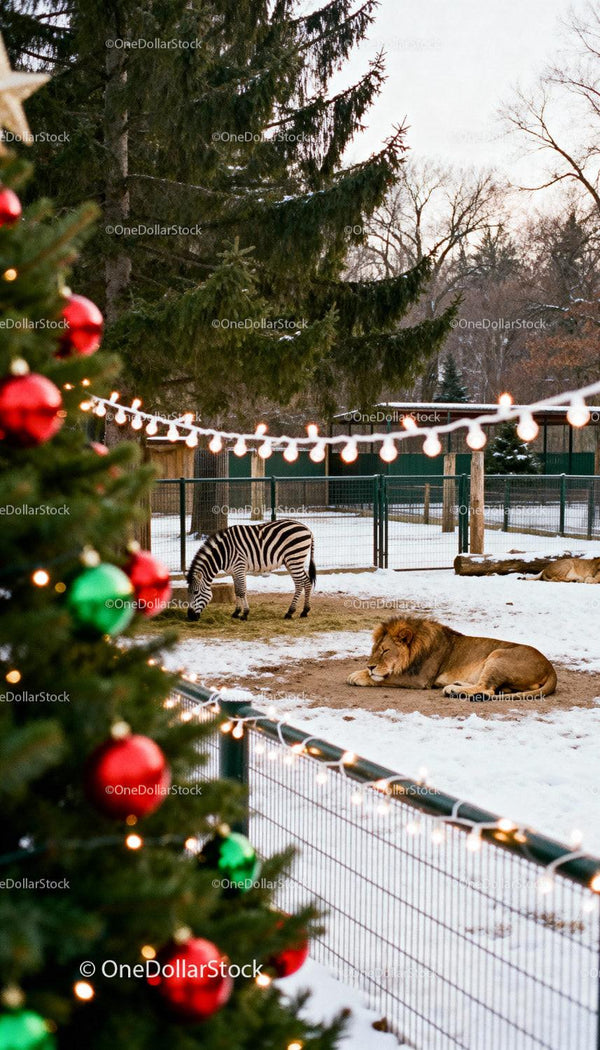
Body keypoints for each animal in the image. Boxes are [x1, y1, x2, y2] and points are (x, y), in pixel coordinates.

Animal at [186, 519, 316, 621]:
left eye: (195, 592)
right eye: (189, 592)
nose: (190, 617)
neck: (223, 553)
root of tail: (307, 529)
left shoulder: (239, 567)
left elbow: (242, 591)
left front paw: (244, 614)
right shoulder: (235, 571)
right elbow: (237, 590)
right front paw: (236, 612)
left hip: (294, 559)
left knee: (299, 583)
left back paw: (290, 612)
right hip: (292, 561)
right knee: (306, 581)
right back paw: (305, 611)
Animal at [347, 616, 557, 701]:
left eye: (385, 651)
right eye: (374, 649)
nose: (370, 666)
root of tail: (550, 668)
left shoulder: (419, 679)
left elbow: (386, 678)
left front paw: (358, 675)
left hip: (497, 655)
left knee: (487, 689)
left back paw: (453, 690)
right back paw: (456, 685)